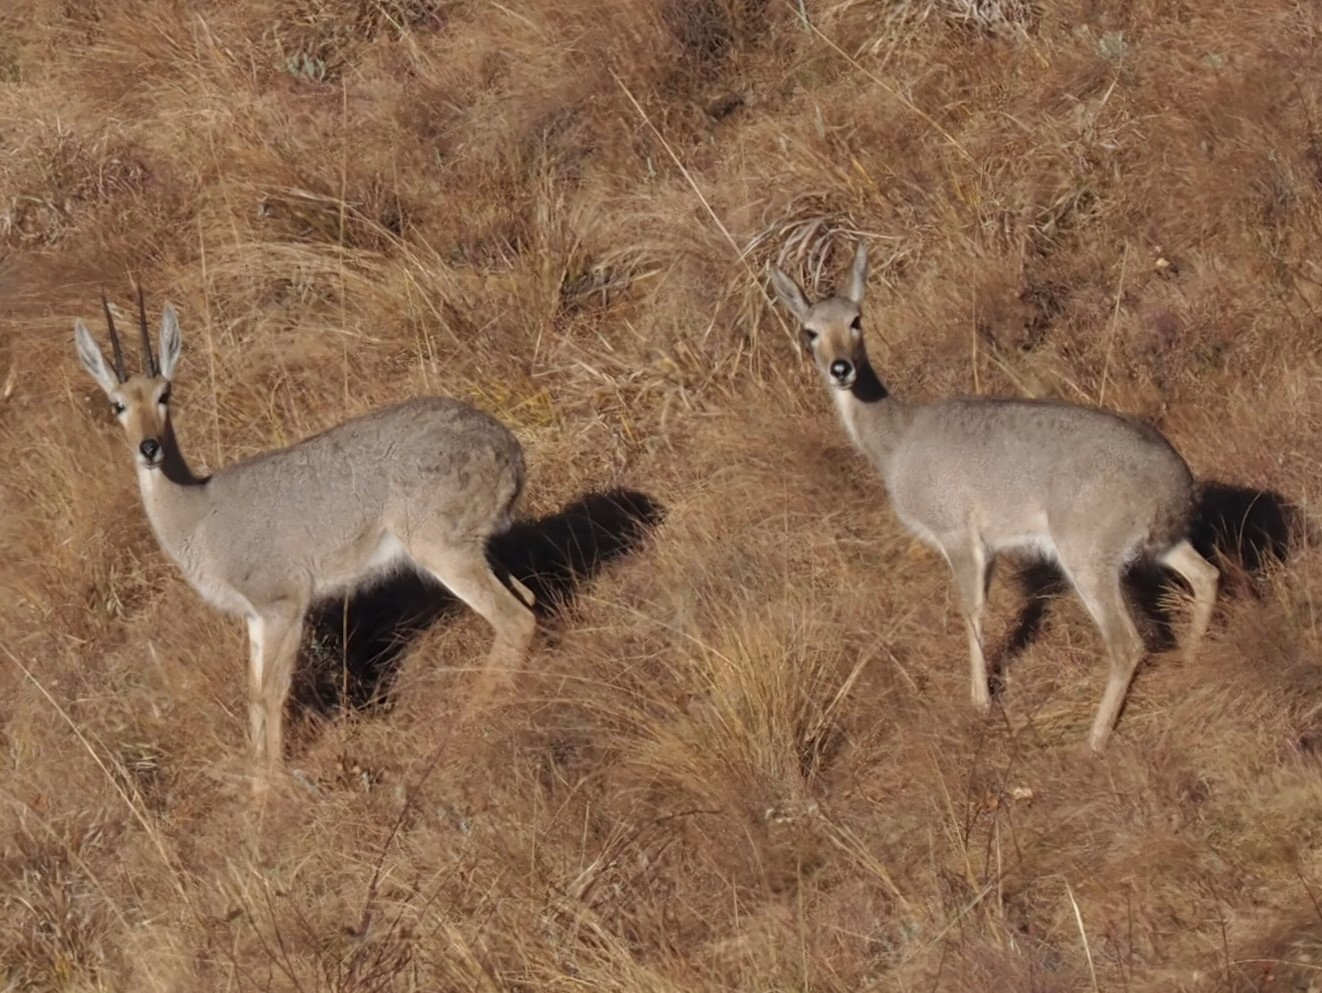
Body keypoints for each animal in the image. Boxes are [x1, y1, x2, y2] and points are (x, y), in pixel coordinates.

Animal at [72, 290, 534, 788]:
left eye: (165, 394)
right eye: (117, 404)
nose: (149, 448)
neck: (198, 513)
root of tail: (511, 451)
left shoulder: (283, 603)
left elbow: (272, 693)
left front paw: (271, 790)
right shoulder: (254, 617)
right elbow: (252, 694)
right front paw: (256, 785)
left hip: (442, 549)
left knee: (514, 620)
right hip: (472, 548)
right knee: (526, 600)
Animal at [772, 243, 1221, 751]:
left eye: (856, 320)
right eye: (809, 331)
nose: (840, 368)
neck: (897, 442)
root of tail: (1176, 486)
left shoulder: (956, 533)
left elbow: (970, 609)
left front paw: (980, 703)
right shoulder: (987, 547)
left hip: (1087, 552)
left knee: (1128, 644)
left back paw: (1093, 739)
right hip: (1160, 544)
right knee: (1207, 575)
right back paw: (1190, 660)